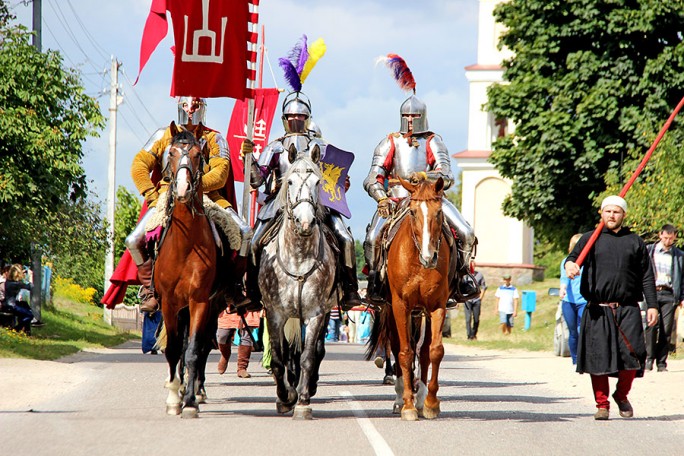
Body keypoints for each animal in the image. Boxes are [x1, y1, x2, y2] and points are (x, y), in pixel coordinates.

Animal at [258, 151, 338, 420]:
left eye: (317, 182)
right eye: (290, 181)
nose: (305, 223)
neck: (299, 257)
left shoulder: (315, 314)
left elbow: (307, 357)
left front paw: (302, 400)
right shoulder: (274, 313)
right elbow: (278, 358)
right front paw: (285, 397)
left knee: (316, 351)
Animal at [366, 174, 452, 420]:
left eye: (439, 212)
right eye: (413, 212)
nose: (429, 257)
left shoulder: (437, 306)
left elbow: (434, 351)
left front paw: (430, 403)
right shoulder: (400, 306)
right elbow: (404, 353)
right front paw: (407, 406)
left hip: (420, 313)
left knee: (422, 352)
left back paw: (420, 397)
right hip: (393, 310)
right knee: (397, 348)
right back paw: (400, 397)